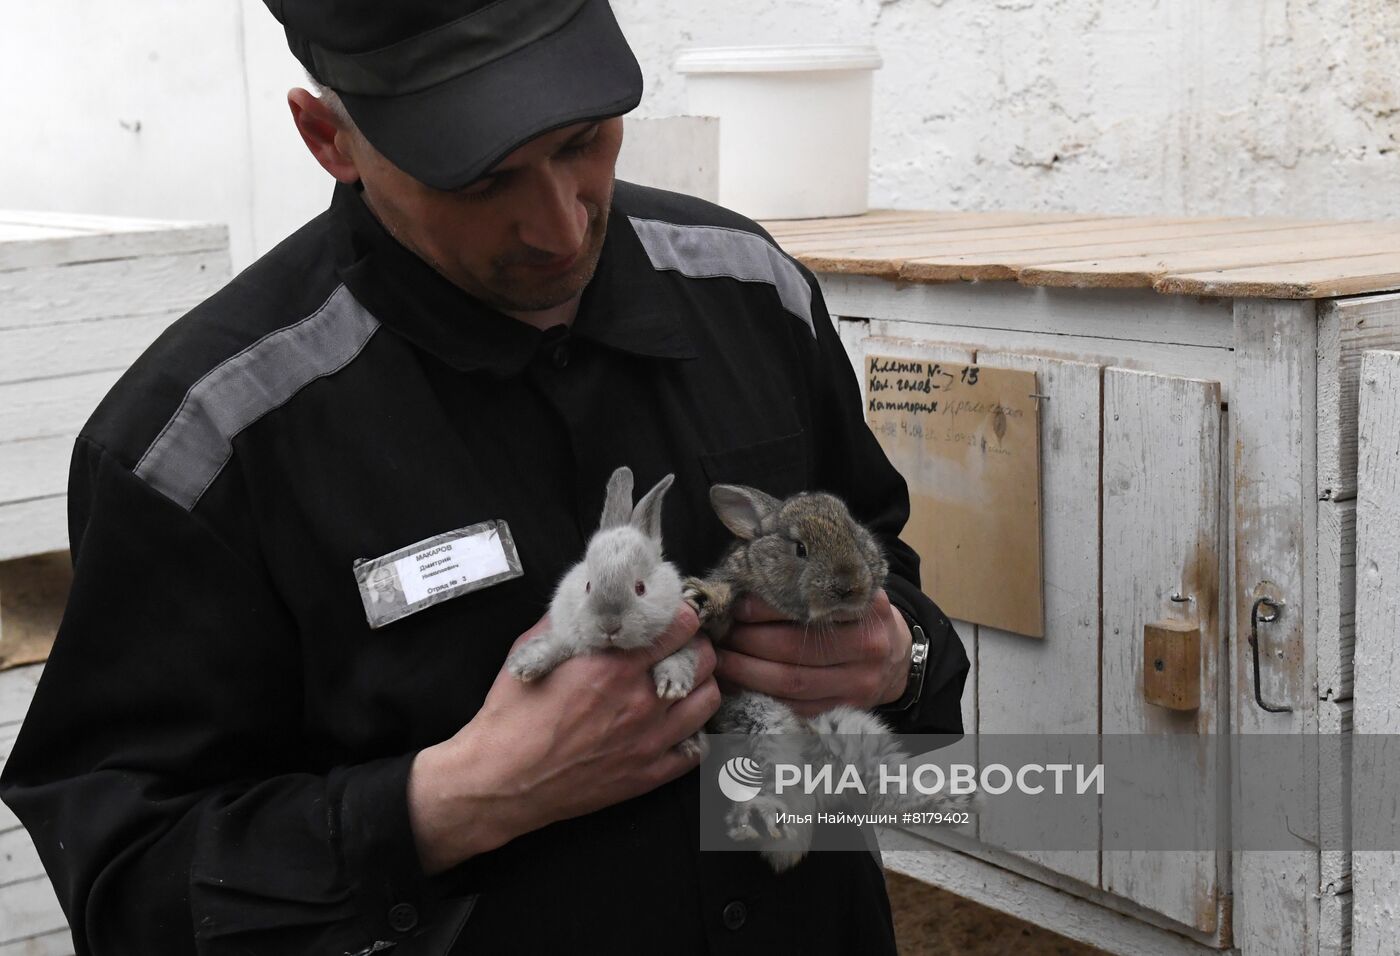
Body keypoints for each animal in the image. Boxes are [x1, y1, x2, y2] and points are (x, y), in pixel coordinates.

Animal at [506, 467, 711, 761]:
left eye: (640, 588)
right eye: (588, 585)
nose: (609, 626)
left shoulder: (688, 639)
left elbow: (681, 658)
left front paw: (673, 685)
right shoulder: (568, 635)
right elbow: (553, 645)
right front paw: (524, 665)